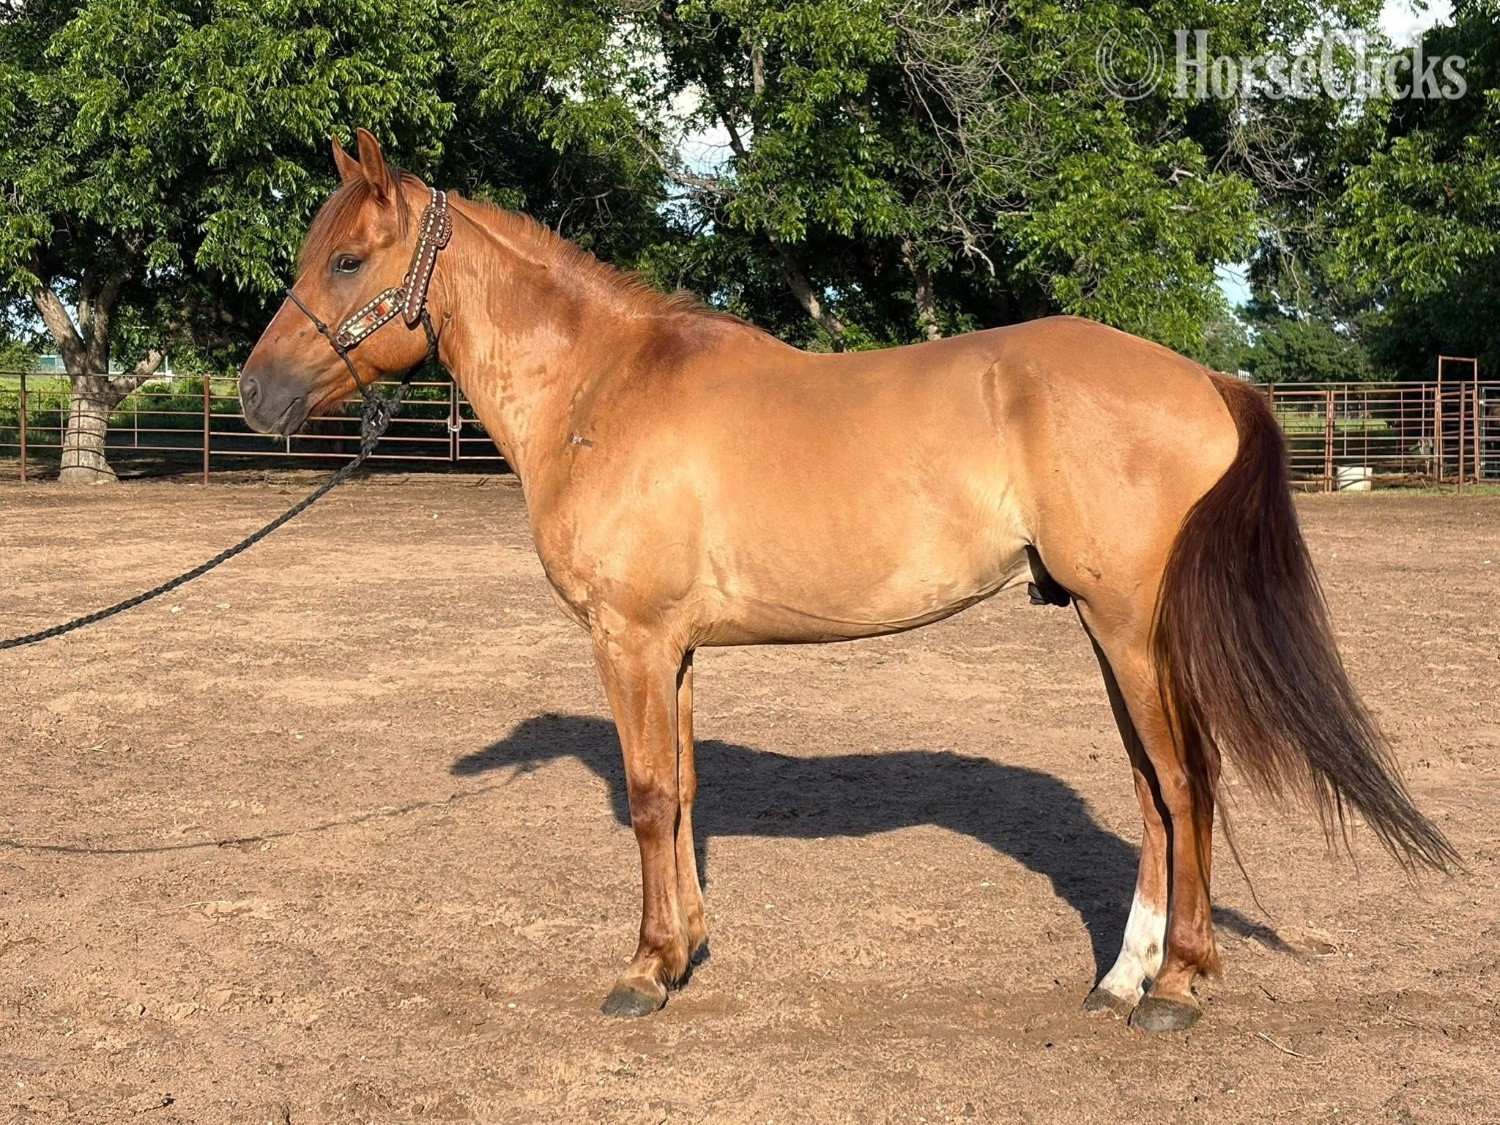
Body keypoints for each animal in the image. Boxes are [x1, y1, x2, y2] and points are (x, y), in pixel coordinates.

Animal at [238, 129, 1456, 1033]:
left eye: (347, 261)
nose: (254, 394)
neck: (603, 388)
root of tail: (1204, 377)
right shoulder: (675, 650)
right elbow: (684, 791)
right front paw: (686, 950)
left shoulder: (628, 639)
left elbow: (646, 797)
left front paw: (642, 970)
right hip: (1110, 633)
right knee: (1154, 789)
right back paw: (1124, 976)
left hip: (1132, 626)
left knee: (1187, 779)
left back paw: (1183, 986)